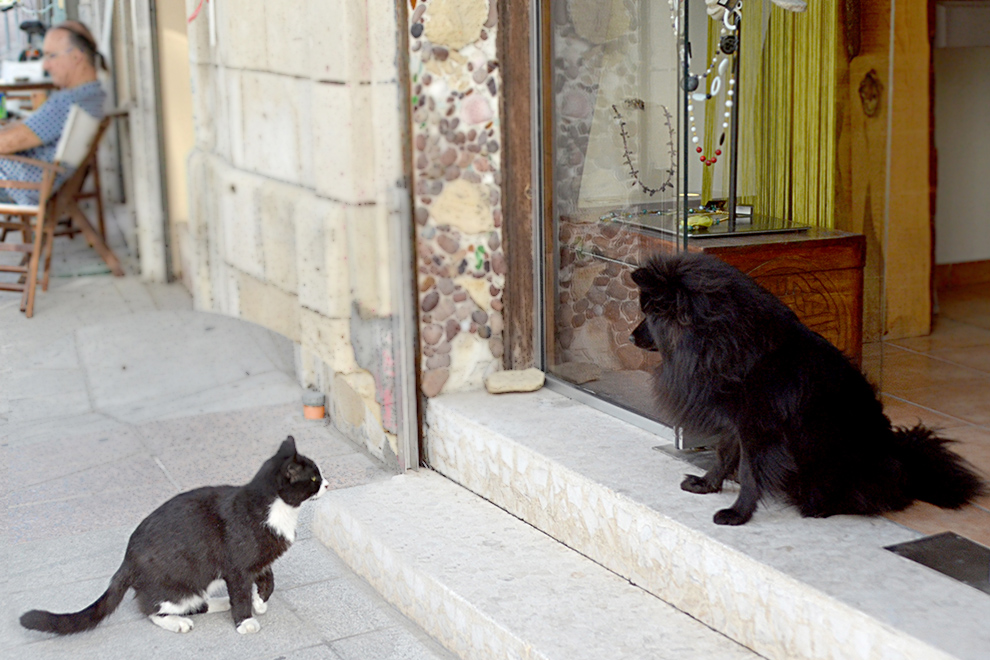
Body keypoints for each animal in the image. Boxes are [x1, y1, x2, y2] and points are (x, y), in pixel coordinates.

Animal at [19, 438, 330, 636]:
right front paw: (245, 621)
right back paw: (178, 623)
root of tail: (127, 560)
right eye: (314, 478)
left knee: (197, 603)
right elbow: (241, 593)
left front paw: (260, 602)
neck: (279, 511)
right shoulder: (238, 567)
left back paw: (220, 603)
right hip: (181, 585)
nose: (328, 483)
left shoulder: (261, 561)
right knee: (150, 608)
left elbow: (268, 580)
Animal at [632, 253, 988, 524]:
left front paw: (738, 514)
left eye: (648, 314)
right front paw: (707, 485)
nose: (631, 335)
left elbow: (748, 473)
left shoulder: (759, 432)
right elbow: (723, 455)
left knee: (880, 498)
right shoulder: (737, 425)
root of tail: (907, 461)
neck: (721, 340)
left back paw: (820, 508)